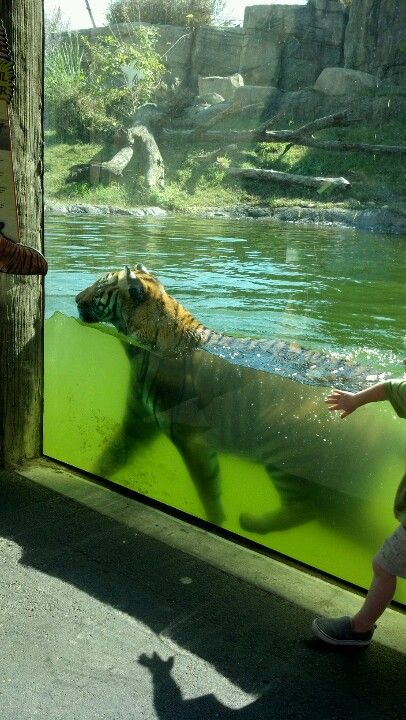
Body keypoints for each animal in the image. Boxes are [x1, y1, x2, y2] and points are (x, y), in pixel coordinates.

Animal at [74, 266, 404, 536]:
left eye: (100, 288)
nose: (76, 298)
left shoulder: (190, 435)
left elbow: (208, 487)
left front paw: (216, 522)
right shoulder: (138, 422)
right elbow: (112, 456)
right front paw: (92, 473)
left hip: (281, 444)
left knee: (306, 508)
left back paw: (250, 524)